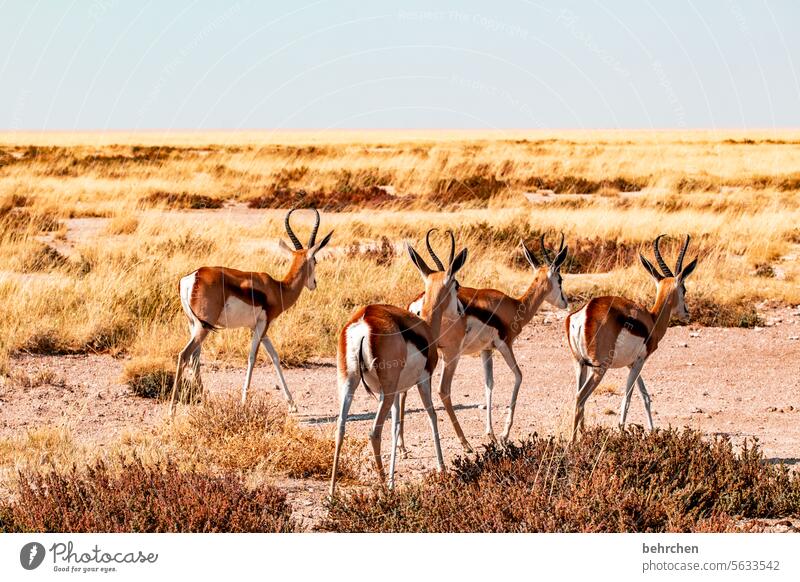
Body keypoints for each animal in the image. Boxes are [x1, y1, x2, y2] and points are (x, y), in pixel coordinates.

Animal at [167, 208, 332, 418]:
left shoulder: (258, 327)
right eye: (315, 260)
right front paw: (244, 402)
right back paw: (172, 411)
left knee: (195, 359)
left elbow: (275, 357)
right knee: (184, 355)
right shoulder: (263, 325)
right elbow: (253, 357)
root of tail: (191, 278)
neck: (278, 288)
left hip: (195, 325)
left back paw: (206, 403)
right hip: (202, 328)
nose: (314, 283)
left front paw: (292, 405)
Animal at [330, 240, 468, 496]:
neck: (426, 328)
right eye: (456, 284)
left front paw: (394, 479)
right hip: (384, 390)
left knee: (340, 428)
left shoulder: (395, 392)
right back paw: (384, 490)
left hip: (349, 383)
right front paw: (442, 468)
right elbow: (432, 415)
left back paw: (332, 493)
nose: (461, 310)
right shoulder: (423, 380)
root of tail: (364, 320)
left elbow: (396, 426)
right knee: (374, 432)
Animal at [400, 230, 568, 450]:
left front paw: (491, 434)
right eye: (561, 279)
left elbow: (489, 384)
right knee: (443, 390)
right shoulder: (505, 345)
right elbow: (519, 376)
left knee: (403, 391)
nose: (566, 302)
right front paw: (504, 434)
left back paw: (403, 447)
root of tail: (417, 306)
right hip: (450, 355)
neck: (515, 306)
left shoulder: (486, 350)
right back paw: (465, 443)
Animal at [564, 235, 696, 440]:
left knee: (580, 397)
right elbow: (628, 397)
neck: (652, 319)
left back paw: (584, 437)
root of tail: (584, 313)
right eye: (684, 289)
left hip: (580, 364)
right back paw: (573, 443)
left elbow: (645, 396)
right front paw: (622, 431)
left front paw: (652, 431)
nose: (687, 313)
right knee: (580, 397)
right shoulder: (640, 362)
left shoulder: (631, 364)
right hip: (599, 368)